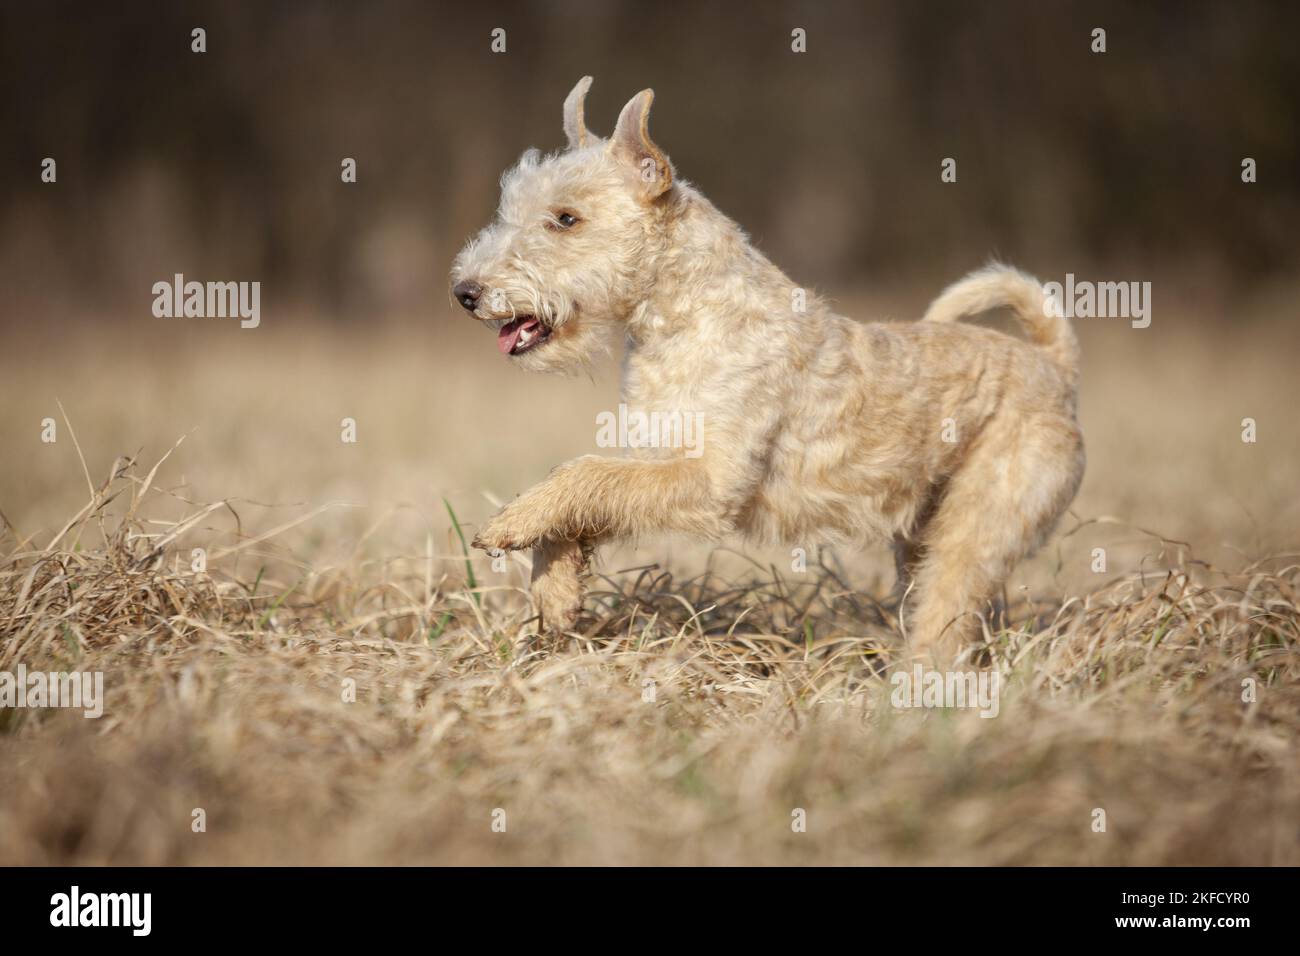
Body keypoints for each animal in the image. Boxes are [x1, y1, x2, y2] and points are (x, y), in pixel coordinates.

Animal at [452, 74, 1081, 660]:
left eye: (565, 218)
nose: (465, 292)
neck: (686, 315)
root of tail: (1054, 364)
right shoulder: (655, 457)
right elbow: (587, 495)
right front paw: (555, 595)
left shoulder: (710, 479)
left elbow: (584, 474)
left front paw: (511, 524)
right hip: (920, 537)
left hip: (976, 526)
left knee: (948, 612)